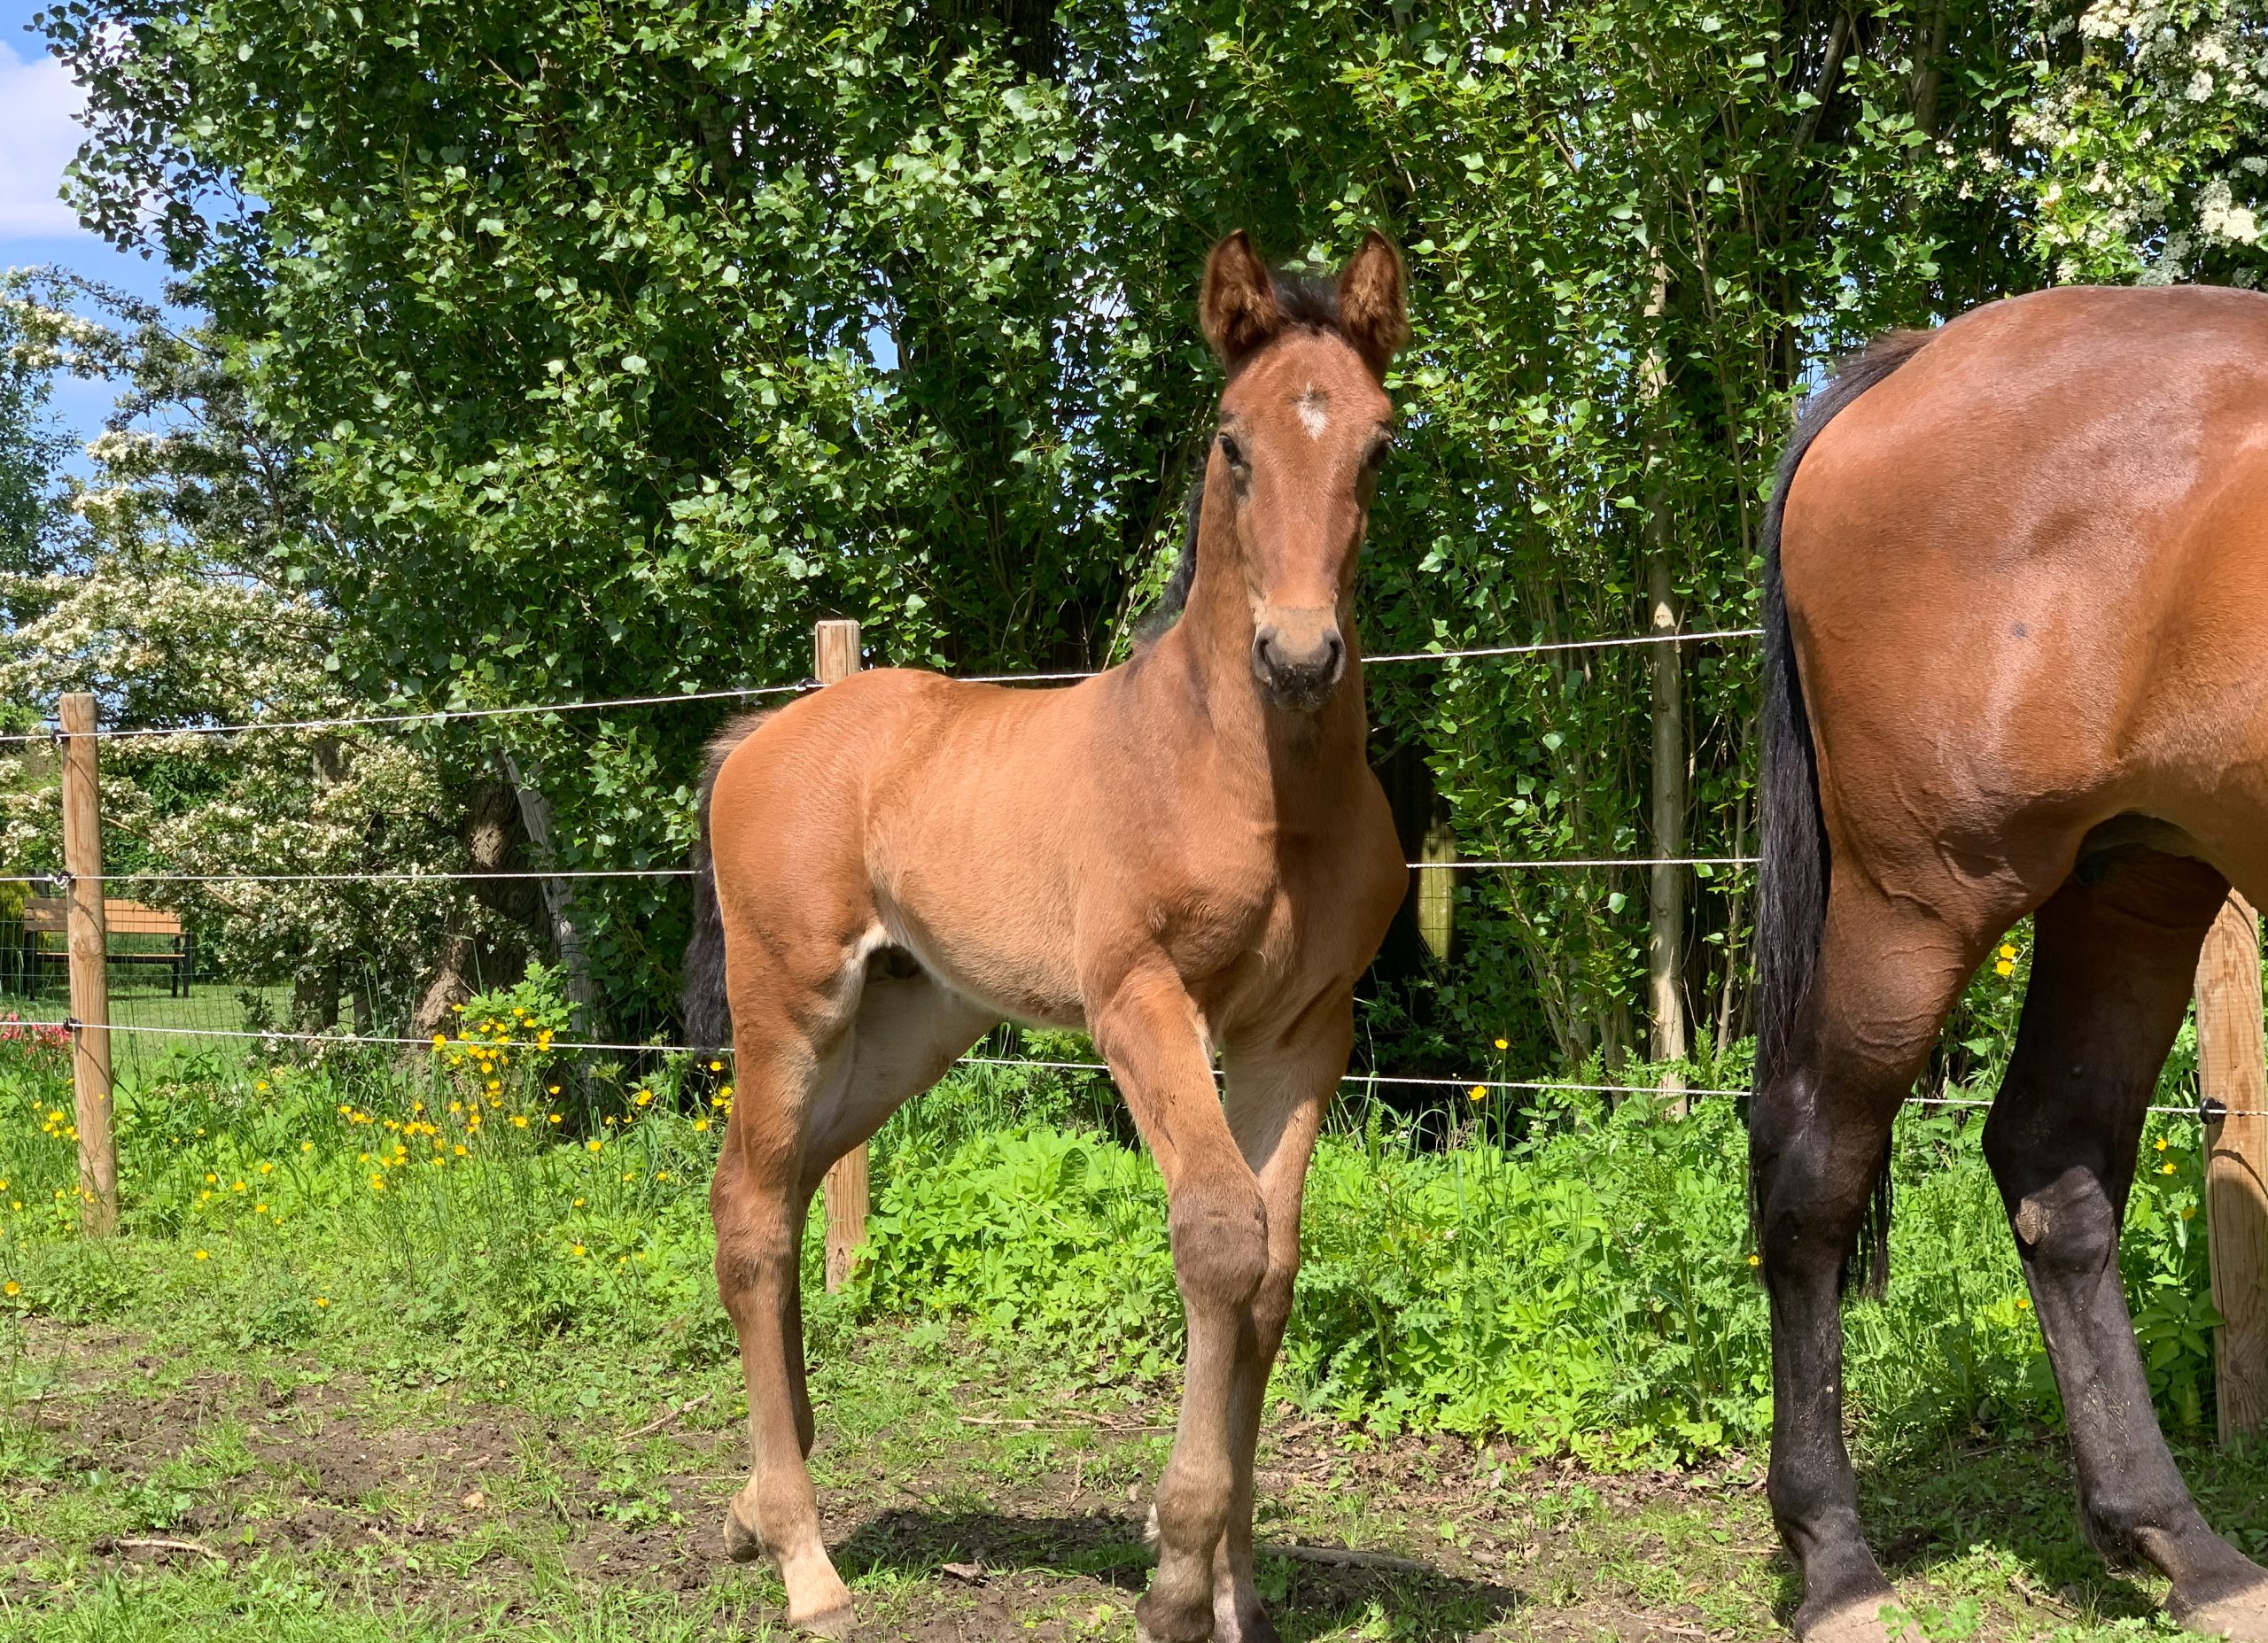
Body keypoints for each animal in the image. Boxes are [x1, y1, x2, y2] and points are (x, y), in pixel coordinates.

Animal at [680, 233, 1406, 1640]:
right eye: (1233, 442)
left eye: (1379, 443)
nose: (1299, 656)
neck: (1252, 779)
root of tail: (761, 735)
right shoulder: (1142, 1002)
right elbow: (1218, 1239)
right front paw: (1176, 1575)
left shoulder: (1303, 1030)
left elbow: (1274, 1270)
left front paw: (1235, 1584)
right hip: (790, 1002)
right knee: (747, 1210)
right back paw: (805, 1560)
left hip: (910, 1022)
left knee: (783, 1194)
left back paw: (753, 1502)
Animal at [1759, 285, 2268, 1640]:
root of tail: (1916, 362)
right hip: (1920, 896)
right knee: (1809, 1167)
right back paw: (1835, 1562)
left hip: (2135, 878)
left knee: (2055, 1162)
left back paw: (2184, 1544)